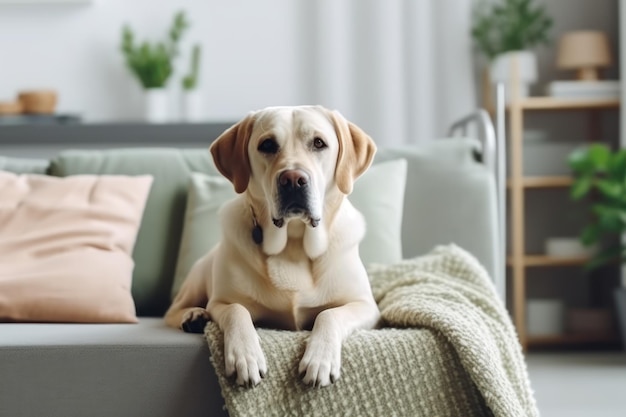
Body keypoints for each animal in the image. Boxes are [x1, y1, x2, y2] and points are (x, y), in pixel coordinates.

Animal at [163, 104, 378, 386]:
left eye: (319, 143)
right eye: (267, 145)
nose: (293, 179)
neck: (294, 243)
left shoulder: (365, 306)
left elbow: (329, 314)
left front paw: (319, 359)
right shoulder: (221, 302)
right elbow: (237, 310)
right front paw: (246, 357)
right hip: (198, 277)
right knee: (172, 311)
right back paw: (194, 316)